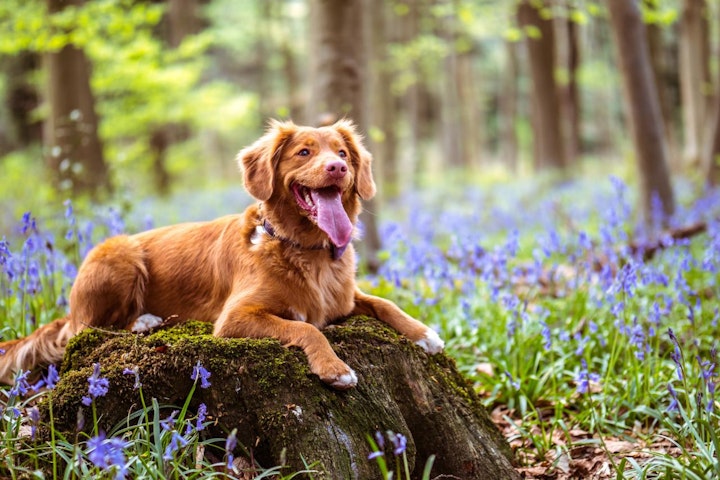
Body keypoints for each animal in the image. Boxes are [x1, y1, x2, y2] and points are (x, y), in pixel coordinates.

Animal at [0, 119, 442, 390]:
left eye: (344, 153)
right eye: (304, 152)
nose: (337, 168)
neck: (305, 250)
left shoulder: (345, 299)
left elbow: (384, 303)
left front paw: (425, 334)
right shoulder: (235, 318)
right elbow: (307, 328)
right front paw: (335, 368)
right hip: (118, 254)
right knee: (87, 329)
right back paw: (143, 320)